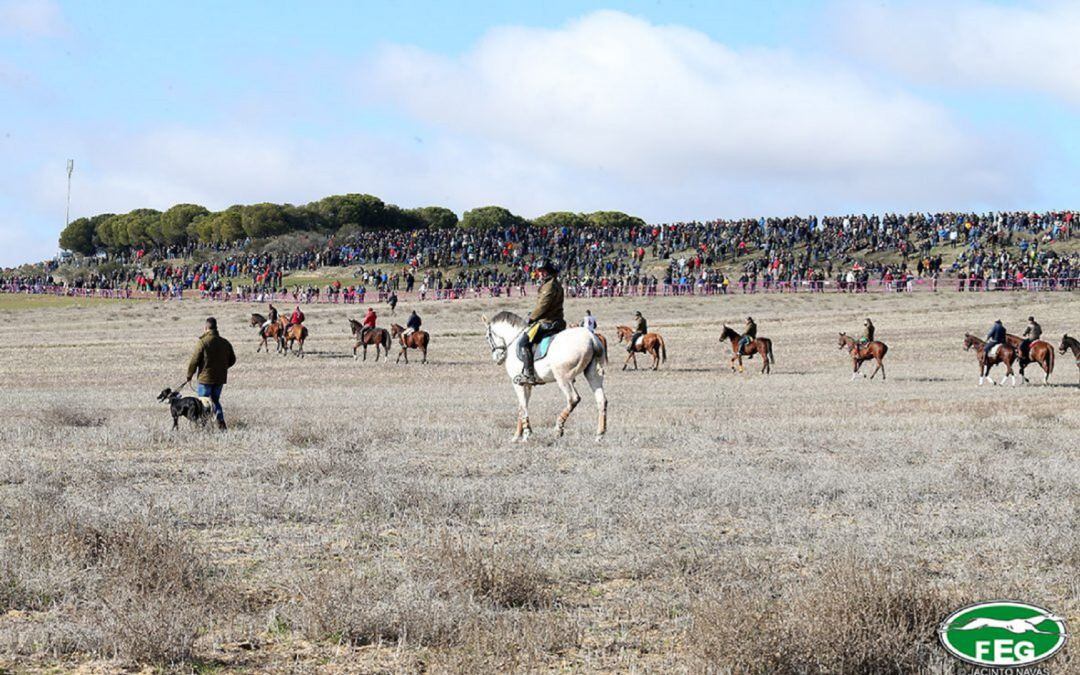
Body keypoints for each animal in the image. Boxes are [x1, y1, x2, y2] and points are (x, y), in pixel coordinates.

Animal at [483, 311, 609, 442]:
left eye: (487, 337)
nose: (497, 358)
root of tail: (591, 338)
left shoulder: (518, 384)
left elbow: (522, 407)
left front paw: (526, 433)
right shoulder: (527, 384)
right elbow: (521, 408)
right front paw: (517, 435)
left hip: (563, 378)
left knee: (573, 399)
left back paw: (558, 428)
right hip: (593, 375)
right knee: (601, 400)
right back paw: (599, 434)